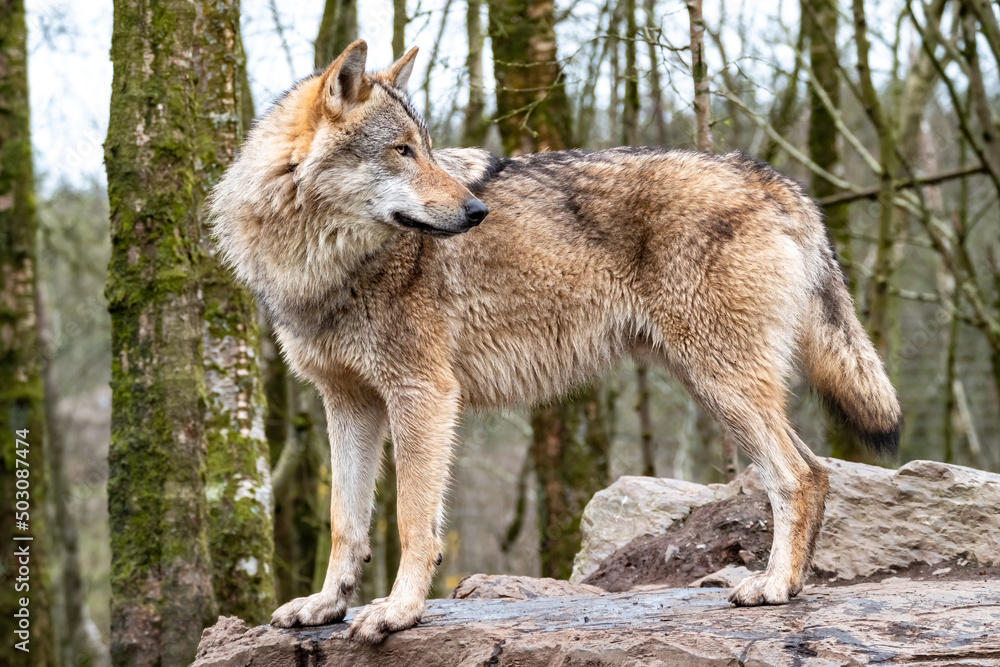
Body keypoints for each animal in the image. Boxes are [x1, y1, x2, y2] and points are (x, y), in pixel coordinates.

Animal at [209, 40, 900, 640]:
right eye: (402, 150)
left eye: (425, 150)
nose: (476, 212)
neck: (321, 265)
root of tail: (774, 179)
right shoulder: (348, 403)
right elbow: (345, 522)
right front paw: (327, 606)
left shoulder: (423, 396)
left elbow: (411, 521)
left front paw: (398, 613)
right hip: (713, 385)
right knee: (816, 471)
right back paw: (794, 584)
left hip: (722, 383)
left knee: (799, 476)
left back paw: (775, 586)